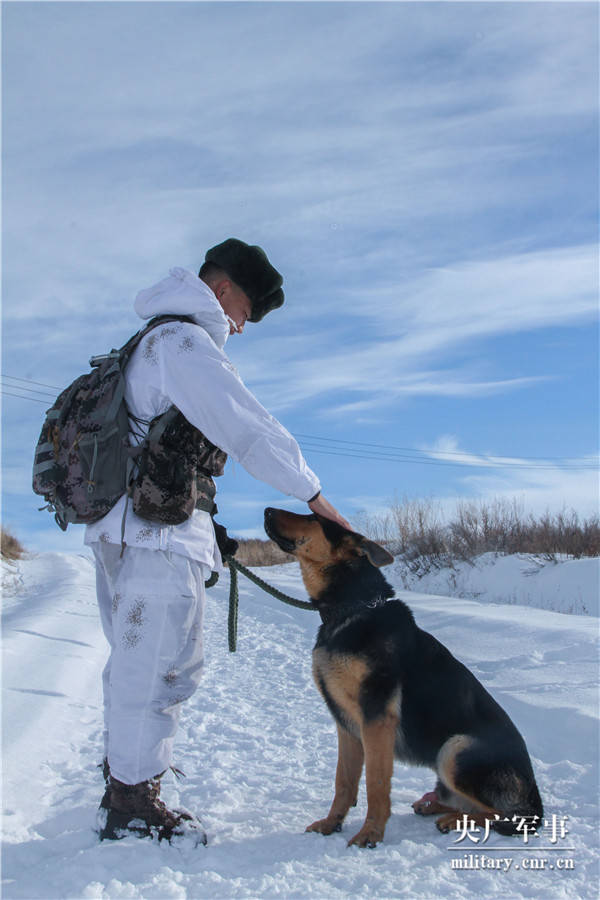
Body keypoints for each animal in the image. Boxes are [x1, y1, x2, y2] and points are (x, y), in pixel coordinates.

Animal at [264, 510, 544, 848]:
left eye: (312, 517)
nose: (266, 510)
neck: (351, 608)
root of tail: (537, 800)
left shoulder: (376, 719)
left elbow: (375, 784)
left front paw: (370, 833)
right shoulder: (346, 724)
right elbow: (343, 781)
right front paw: (332, 823)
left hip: (455, 748)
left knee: (506, 815)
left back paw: (453, 820)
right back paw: (433, 805)